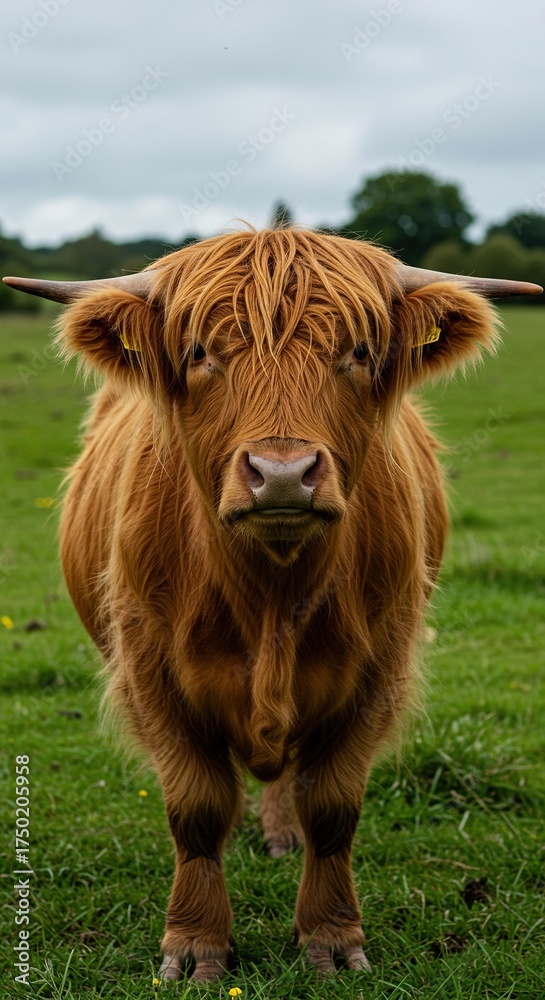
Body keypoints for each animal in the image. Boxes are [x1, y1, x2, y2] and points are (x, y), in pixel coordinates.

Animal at [4, 229, 541, 981]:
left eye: (359, 352)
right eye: (200, 352)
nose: (282, 474)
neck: (271, 595)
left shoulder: (376, 674)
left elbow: (332, 808)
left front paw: (331, 939)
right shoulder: (152, 674)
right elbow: (196, 810)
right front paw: (195, 945)